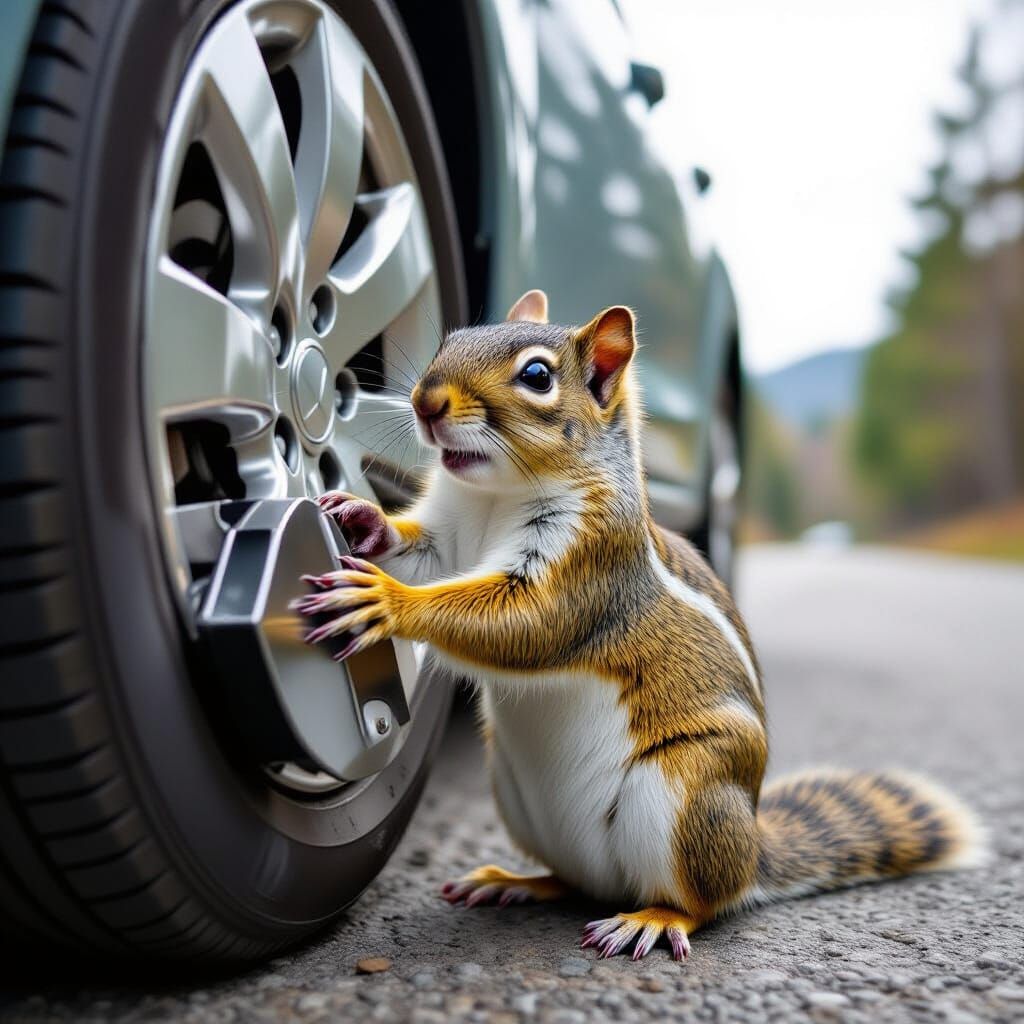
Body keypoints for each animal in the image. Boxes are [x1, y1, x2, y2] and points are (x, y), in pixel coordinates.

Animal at [294, 289, 987, 962]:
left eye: (538, 376)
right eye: (452, 339)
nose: (425, 400)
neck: (495, 496)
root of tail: (753, 852)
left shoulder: (592, 566)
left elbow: (525, 623)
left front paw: (385, 600)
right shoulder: (449, 538)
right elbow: (423, 554)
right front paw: (361, 517)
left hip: (686, 794)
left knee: (704, 901)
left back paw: (653, 919)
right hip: (516, 792)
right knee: (574, 881)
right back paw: (518, 882)